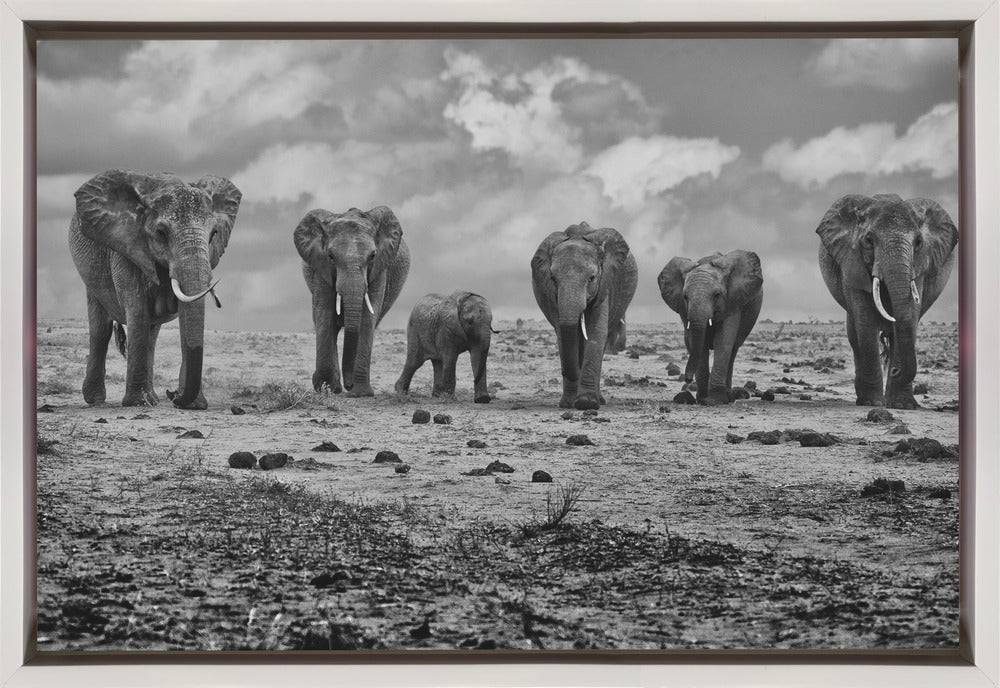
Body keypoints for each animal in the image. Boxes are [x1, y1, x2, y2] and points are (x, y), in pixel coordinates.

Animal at [68, 170, 241, 409]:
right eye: (161, 233)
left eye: (214, 234)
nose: (173, 393)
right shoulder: (126, 249)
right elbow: (137, 311)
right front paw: (137, 403)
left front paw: (193, 406)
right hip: (90, 274)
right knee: (101, 330)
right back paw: (97, 400)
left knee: (151, 335)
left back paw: (153, 399)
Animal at [294, 206, 410, 397]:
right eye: (331, 256)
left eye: (372, 256)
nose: (349, 385)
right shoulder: (320, 267)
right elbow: (324, 314)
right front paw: (325, 388)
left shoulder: (379, 269)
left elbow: (367, 319)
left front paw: (361, 393)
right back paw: (332, 388)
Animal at [530, 221, 638, 410]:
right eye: (553, 279)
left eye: (592, 278)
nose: (571, 373)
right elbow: (562, 335)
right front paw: (568, 404)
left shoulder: (605, 284)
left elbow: (596, 333)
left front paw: (586, 403)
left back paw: (599, 400)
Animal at [658, 251, 763, 406]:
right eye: (685, 297)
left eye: (717, 295)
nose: (687, 379)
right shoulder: (684, 309)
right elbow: (698, 343)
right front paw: (702, 399)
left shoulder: (732, 301)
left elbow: (723, 340)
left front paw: (714, 400)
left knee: (732, 351)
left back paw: (728, 399)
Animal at [817, 194, 957, 409]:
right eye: (868, 240)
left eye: (918, 242)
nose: (895, 371)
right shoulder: (852, 262)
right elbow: (865, 322)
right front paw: (872, 402)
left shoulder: (919, 267)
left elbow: (911, 314)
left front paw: (903, 406)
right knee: (854, 337)